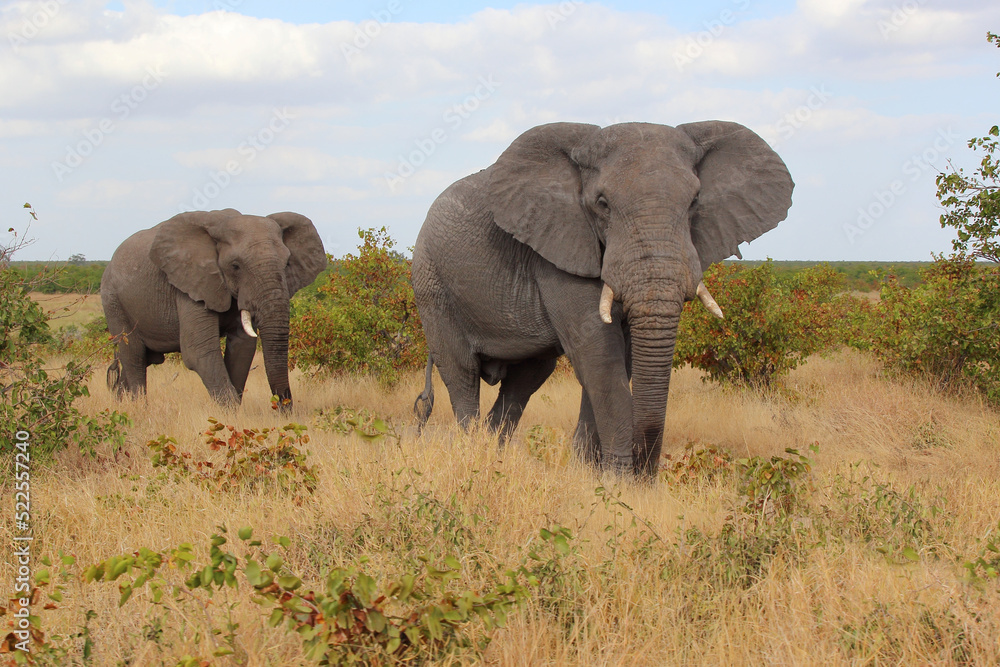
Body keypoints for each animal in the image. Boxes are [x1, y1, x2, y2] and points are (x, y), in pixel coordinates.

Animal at [100, 209, 327, 410]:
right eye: (235, 266)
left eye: (287, 263)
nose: (283, 407)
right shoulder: (192, 282)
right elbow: (198, 350)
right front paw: (229, 417)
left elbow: (242, 348)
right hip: (113, 301)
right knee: (134, 356)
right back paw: (139, 409)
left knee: (143, 359)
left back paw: (120, 405)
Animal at [411, 121, 793, 477]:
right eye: (602, 204)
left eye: (695, 202)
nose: (646, 476)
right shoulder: (558, 249)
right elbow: (598, 353)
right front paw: (619, 483)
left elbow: (619, 357)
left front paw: (591, 473)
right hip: (432, 286)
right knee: (462, 373)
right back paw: (474, 456)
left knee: (526, 379)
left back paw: (494, 455)